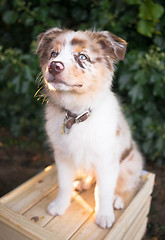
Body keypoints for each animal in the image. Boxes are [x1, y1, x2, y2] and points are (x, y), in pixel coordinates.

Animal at [36, 28, 143, 229]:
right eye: (53, 54)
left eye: (83, 56)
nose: (54, 66)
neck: (77, 115)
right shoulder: (62, 155)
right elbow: (64, 183)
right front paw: (59, 206)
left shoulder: (107, 161)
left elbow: (104, 191)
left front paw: (104, 215)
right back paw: (83, 183)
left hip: (130, 164)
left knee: (126, 185)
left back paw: (117, 199)